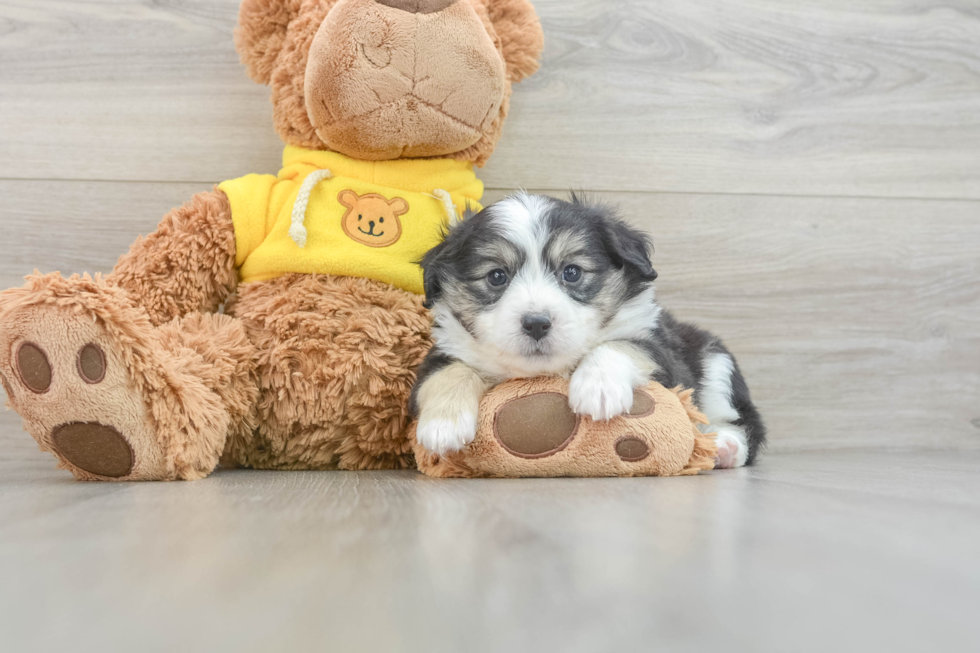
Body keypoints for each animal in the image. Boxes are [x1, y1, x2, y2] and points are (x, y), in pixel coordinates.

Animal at [410, 191, 760, 466]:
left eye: (573, 272)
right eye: (497, 276)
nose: (536, 323)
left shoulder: (660, 351)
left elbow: (618, 345)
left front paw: (598, 389)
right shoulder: (442, 351)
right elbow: (449, 373)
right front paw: (442, 426)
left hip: (716, 362)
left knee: (744, 424)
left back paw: (722, 446)